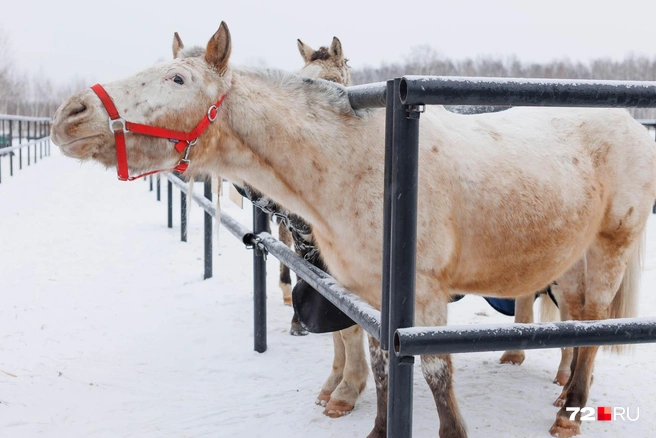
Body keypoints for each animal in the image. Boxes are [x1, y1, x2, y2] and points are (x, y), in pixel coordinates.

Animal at [52, 22, 656, 436]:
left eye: (177, 78)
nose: (69, 115)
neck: (363, 165)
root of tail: (629, 122)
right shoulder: (370, 295)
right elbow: (381, 364)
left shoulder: (423, 298)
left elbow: (435, 376)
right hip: (572, 258)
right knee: (574, 317)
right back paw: (562, 388)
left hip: (610, 248)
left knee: (596, 321)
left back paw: (571, 411)